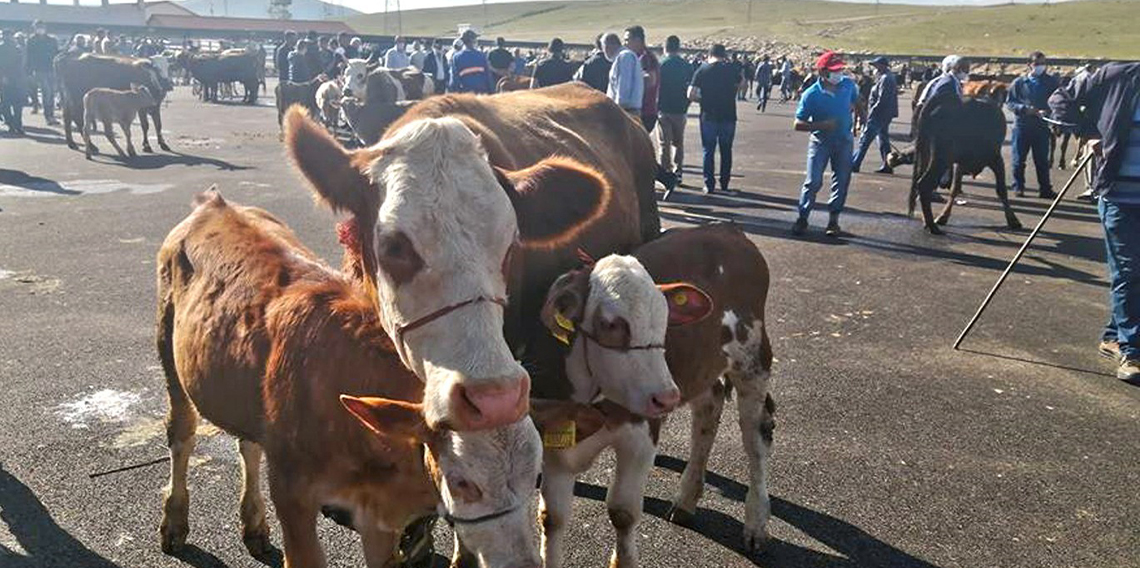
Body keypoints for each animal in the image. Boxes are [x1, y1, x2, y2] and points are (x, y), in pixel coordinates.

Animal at [156, 189, 542, 568]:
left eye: (537, 478)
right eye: (463, 483)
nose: (523, 565)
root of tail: (214, 203)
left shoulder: (379, 517)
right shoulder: (292, 495)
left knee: (249, 445)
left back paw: (254, 526)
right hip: (167, 344)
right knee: (182, 433)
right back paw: (174, 523)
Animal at [533, 223, 775, 565]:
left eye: (665, 322)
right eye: (609, 324)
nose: (666, 397)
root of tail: (727, 228)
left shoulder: (642, 434)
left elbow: (622, 512)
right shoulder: (556, 444)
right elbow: (551, 518)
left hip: (753, 362)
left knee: (756, 440)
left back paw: (756, 523)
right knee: (707, 415)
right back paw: (686, 499)